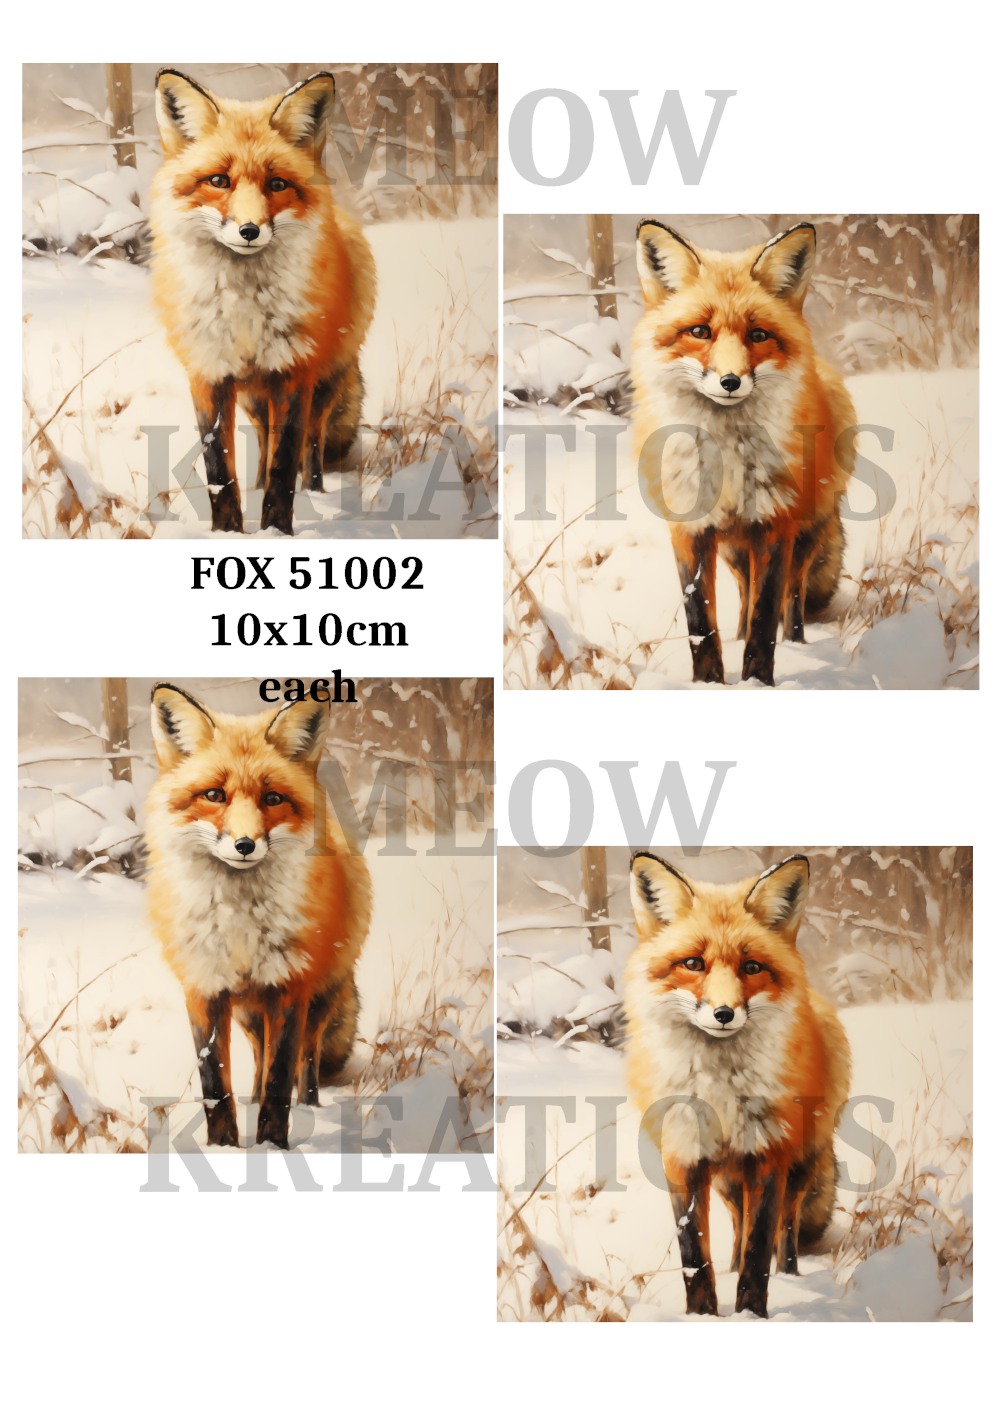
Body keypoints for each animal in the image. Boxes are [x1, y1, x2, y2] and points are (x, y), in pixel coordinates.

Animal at [144, 683, 372, 1149]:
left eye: (272, 798)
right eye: (215, 795)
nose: (245, 845)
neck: (240, 926)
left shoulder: (290, 986)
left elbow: (281, 1076)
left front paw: (272, 1146)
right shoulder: (204, 988)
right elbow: (216, 1084)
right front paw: (224, 1147)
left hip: (317, 999)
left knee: (307, 1057)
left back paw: (309, 1106)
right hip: (249, 1013)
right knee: (257, 1053)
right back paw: (250, 1099)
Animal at [148, 69, 377, 536]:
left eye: (277, 184)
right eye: (219, 180)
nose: (250, 230)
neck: (245, 312)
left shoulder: (294, 371)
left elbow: (284, 464)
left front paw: (276, 531)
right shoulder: (208, 374)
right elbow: (219, 470)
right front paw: (228, 532)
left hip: (323, 384)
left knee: (312, 441)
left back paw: (314, 492)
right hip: (253, 397)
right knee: (261, 437)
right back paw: (254, 487)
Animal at [624, 851, 850, 1318]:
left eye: (752, 967)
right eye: (694, 963)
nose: (724, 1013)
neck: (720, 1091)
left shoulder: (769, 1154)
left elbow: (759, 1246)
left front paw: (751, 1313)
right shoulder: (684, 1155)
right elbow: (694, 1254)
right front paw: (703, 1314)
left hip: (797, 1165)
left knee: (786, 1225)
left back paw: (789, 1275)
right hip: (727, 1181)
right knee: (735, 1221)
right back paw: (729, 1268)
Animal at [630, 221, 858, 685]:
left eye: (758, 335)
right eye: (700, 331)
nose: (731, 381)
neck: (728, 458)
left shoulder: (775, 523)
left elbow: (765, 615)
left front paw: (758, 682)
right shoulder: (690, 528)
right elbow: (701, 621)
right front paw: (709, 683)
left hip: (803, 535)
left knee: (792, 594)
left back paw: (796, 643)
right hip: (734, 549)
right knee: (742, 589)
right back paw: (735, 636)